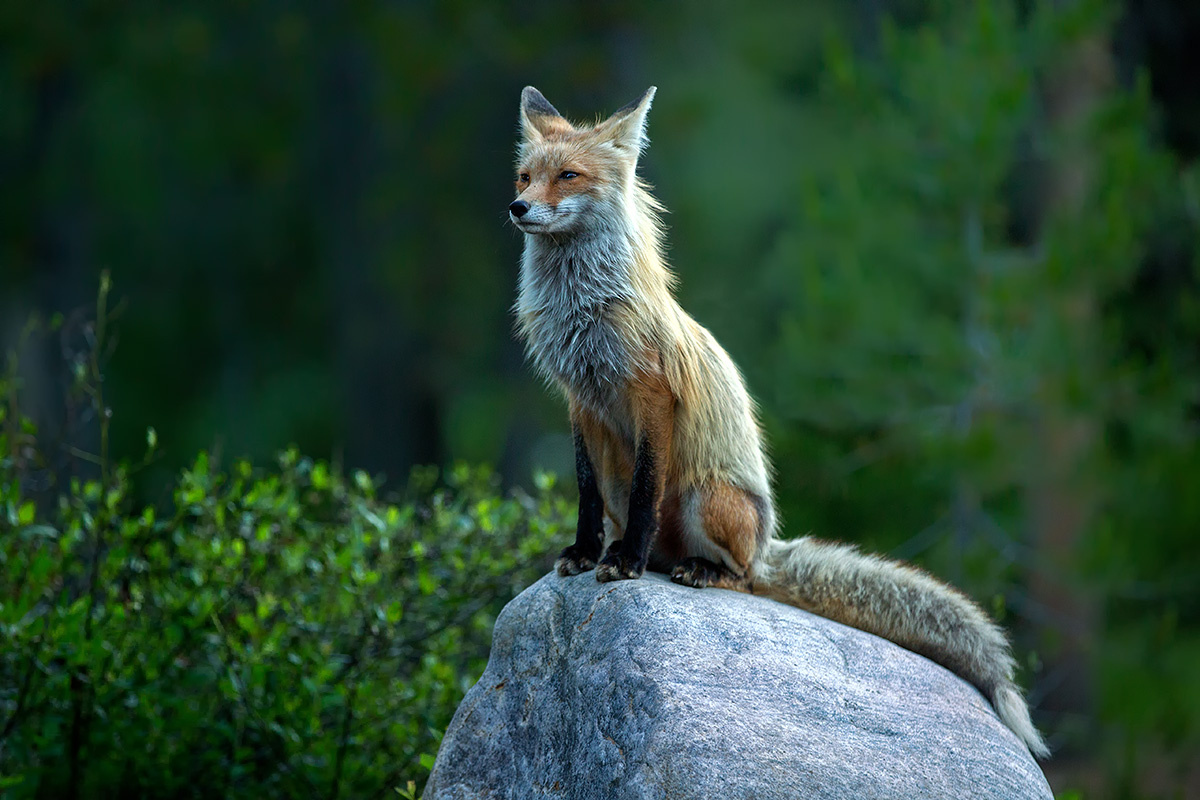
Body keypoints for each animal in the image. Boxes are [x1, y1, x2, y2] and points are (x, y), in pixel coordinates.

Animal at [506, 84, 1051, 762]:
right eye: (525, 176)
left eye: (568, 176)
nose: (518, 207)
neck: (585, 309)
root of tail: (768, 545)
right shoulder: (581, 404)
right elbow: (582, 494)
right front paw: (585, 554)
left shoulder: (652, 395)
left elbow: (646, 489)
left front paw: (625, 563)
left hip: (709, 500)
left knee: (742, 580)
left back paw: (694, 570)